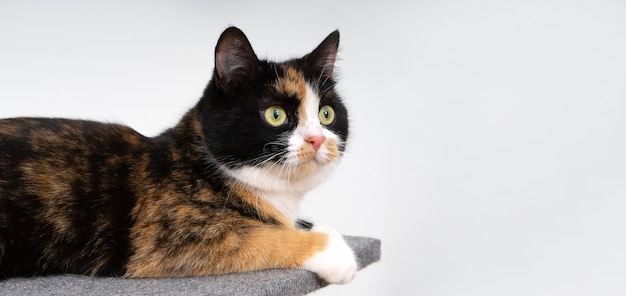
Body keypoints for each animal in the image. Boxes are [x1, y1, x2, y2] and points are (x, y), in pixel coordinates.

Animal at [0, 27, 356, 284]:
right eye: (276, 115)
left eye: (325, 114)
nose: (316, 139)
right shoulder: (168, 239)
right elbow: (266, 237)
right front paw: (337, 254)